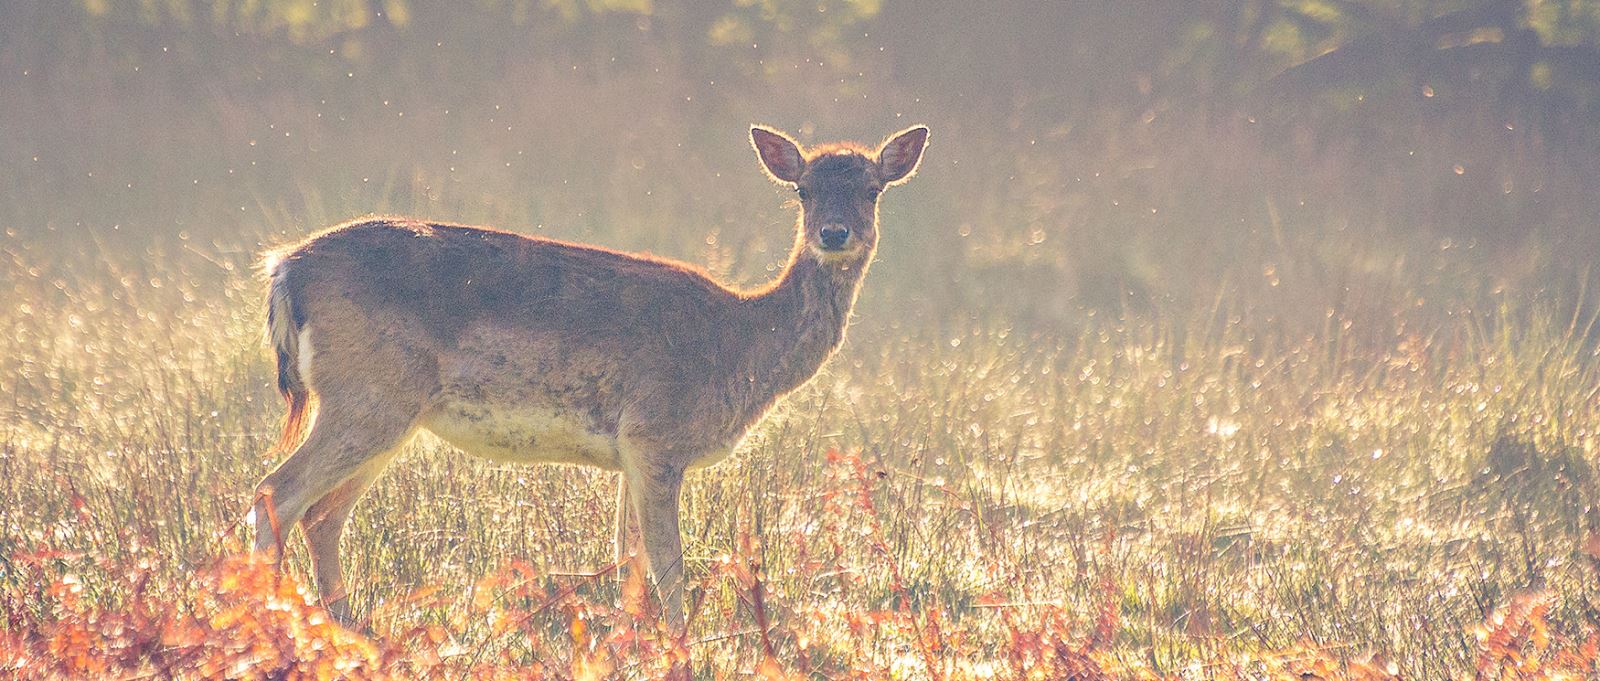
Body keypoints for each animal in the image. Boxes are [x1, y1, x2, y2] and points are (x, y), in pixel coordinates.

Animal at [244, 123, 934, 626]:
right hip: (368, 395)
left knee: (322, 515)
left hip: (386, 410)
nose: (835, 233)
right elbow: (667, 565)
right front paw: (680, 642)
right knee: (277, 494)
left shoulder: (630, 451)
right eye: (803, 190)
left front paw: (633, 639)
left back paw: (346, 626)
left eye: (873, 188)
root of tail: (286, 267)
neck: (739, 346)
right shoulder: (656, 434)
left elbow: (628, 560)